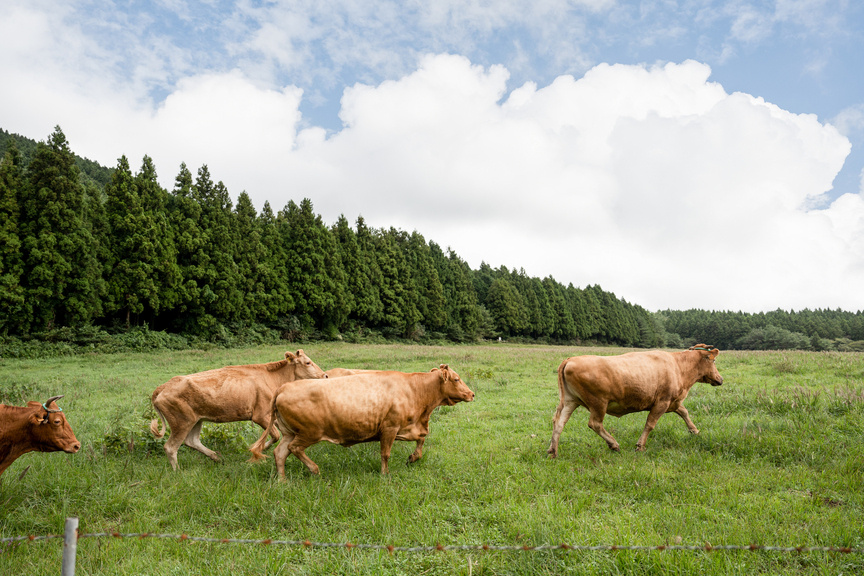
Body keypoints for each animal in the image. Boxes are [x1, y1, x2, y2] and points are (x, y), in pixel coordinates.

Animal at [150, 348, 326, 470]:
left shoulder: (272, 415)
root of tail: (163, 386)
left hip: (196, 420)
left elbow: (278, 434)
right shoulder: (260, 415)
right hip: (182, 422)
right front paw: (259, 449)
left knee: (191, 441)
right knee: (171, 447)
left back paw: (216, 457)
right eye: (308, 362)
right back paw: (177, 471)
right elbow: (275, 435)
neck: (272, 378)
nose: (325, 375)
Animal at [250, 364, 476, 476]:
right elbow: (385, 454)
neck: (415, 390)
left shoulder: (410, 426)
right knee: (295, 449)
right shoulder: (390, 427)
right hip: (309, 433)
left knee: (280, 453)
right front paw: (385, 474)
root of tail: (284, 387)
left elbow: (421, 440)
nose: (472, 394)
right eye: (457, 379)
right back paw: (314, 469)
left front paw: (412, 458)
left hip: (290, 432)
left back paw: (282, 480)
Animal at [548, 344, 724, 456]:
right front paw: (640, 446)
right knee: (595, 424)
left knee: (559, 422)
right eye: (714, 360)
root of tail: (570, 359)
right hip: (598, 403)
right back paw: (614, 444)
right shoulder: (662, 401)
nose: (720, 379)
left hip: (570, 401)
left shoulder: (673, 402)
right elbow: (650, 424)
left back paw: (553, 451)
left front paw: (695, 431)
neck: (679, 366)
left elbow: (684, 412)